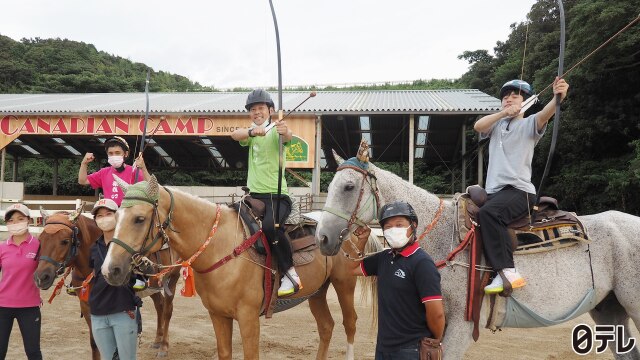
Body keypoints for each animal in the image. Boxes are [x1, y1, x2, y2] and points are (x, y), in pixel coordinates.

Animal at [34, 208, 181, 358]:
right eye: (40, 240)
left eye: (64, 241)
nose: (41, 277)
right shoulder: (86, 305)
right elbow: (94, 343)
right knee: (159, 305)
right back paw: (157, 340)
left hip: (172, 278)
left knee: (167, 310)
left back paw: (164, 346)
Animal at [100, 176, 380, 360]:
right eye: (117, 218)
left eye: (139, 219)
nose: (110, 269)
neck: (220, 247)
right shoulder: (218, 316)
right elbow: (225, 353)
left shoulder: (248, 318)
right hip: (318, 291)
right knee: (326, 327)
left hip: (344, 285)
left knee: (349, 324)